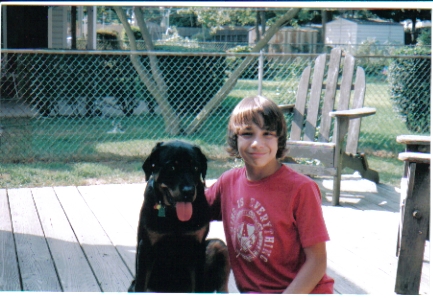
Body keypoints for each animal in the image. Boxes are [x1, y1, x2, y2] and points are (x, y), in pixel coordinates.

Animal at [128, 141, 230, 292]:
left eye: (195, 167)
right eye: (172, 167)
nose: (188, 191)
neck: (174, 217)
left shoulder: (197, 247)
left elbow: (198, 284)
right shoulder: (145, 246)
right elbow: (141, 284)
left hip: (218, 246)